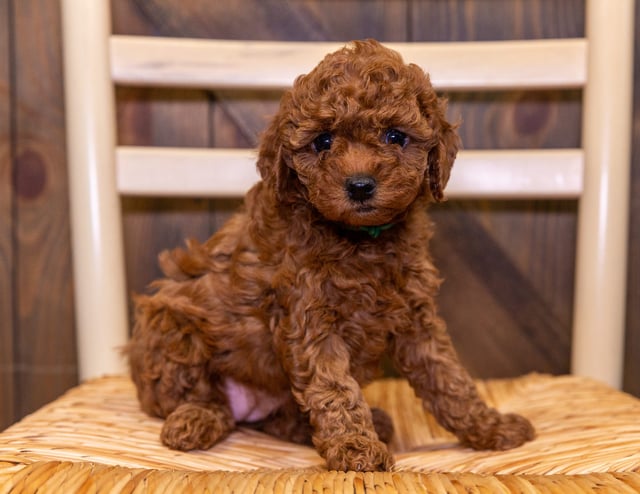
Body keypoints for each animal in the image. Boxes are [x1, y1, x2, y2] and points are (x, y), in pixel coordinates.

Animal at [126, 38, 536, 470]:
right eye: (323, 141)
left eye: (395, 136)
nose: (359, 186)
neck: (360, 240)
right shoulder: (310, 318)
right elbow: (334, 388)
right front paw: (355, 447)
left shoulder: (416, 318)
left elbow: (449, 378)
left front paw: (490, 426)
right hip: (169, 322)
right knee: (205, 399)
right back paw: (193, 420)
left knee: (280, 418)